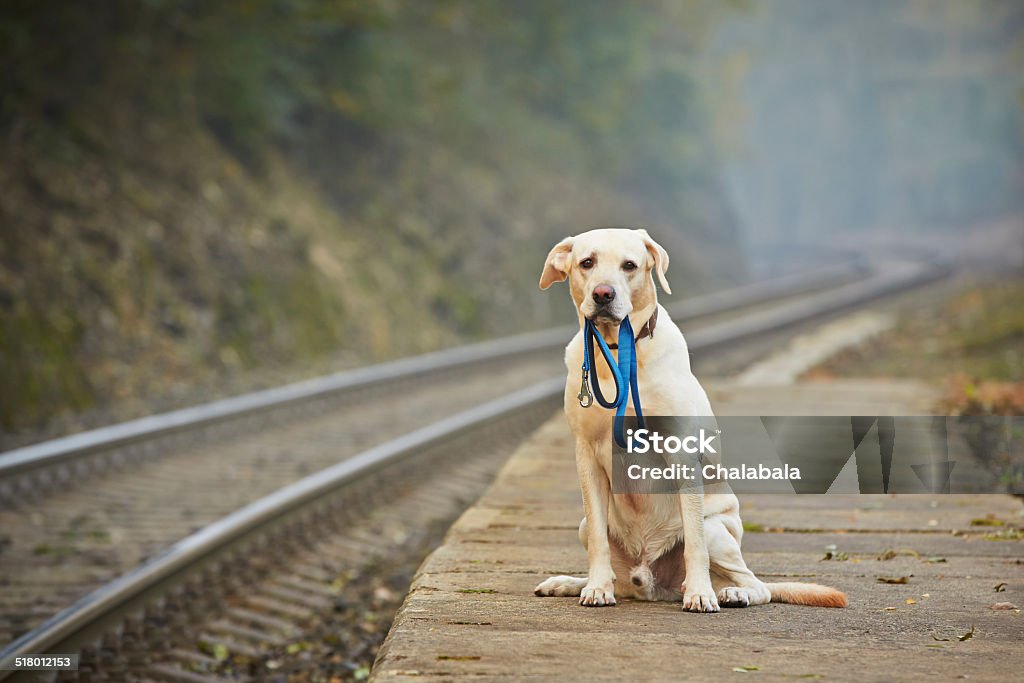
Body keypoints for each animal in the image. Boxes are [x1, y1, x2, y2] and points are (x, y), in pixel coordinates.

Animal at [532, 227, 843, 610]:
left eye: (629, 265)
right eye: (587, 262)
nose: (603, 294)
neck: (619, 352)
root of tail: (650, 584)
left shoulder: (681, 451)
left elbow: (694, 542)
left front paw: (699, 593)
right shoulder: (587, 453)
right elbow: (599, 543)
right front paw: (596, 588)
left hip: (718, 532)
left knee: (757, 584)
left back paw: (730, 592)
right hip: (583, 527)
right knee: (610, 561)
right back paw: (572, 583)